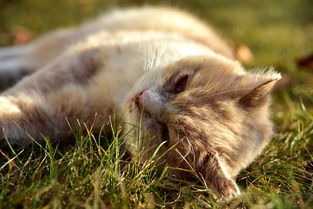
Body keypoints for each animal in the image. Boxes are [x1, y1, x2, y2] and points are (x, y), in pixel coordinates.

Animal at [0, 6, 280, 198]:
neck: (119, 92)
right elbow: (29, 86)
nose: (140, 98)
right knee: (20, 56)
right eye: (181, 83)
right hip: (64, 42)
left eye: (166, 134)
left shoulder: (67, 111)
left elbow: (25, 114)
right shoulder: (85, 57)